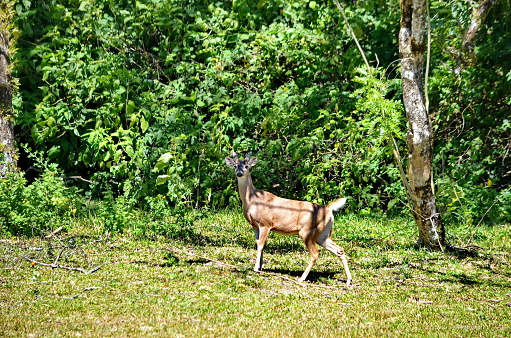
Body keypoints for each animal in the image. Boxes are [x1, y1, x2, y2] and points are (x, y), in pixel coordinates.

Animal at [226, 152, 354, 286]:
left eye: (246, 166)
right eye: (235, 166)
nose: (239, 173)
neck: (252, 200)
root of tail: (328, 209)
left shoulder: (265, 223)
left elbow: (260, 245)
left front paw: (256, 268)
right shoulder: (255, 226)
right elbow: (259, 244)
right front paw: (260, 266)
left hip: (307, 231)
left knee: (315, 254)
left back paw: (301, 278)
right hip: (323, 234)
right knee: (339, 250)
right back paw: (348, 280)